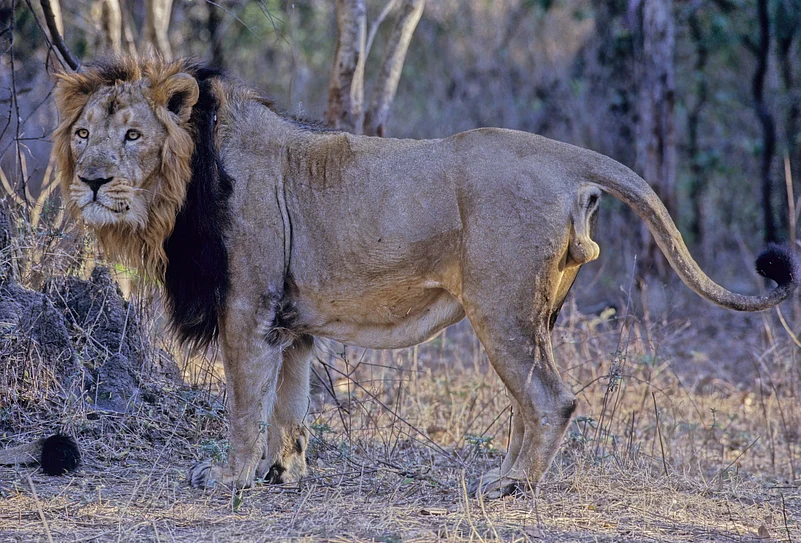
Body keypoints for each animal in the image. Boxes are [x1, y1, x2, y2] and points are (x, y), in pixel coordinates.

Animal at [51, 56, 797, 498]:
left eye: (133, 136)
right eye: (83, 134)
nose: (91, 181)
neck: (182, 184)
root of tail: (563, 158)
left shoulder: (247, 310)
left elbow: (243, 407)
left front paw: (229, 477)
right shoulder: (290, 322)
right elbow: (289, 407)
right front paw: (282, 472)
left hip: (499, 308)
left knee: (553, 399)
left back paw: (512, 487)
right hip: (533, 313)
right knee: (530, 401)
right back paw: (504, 473)